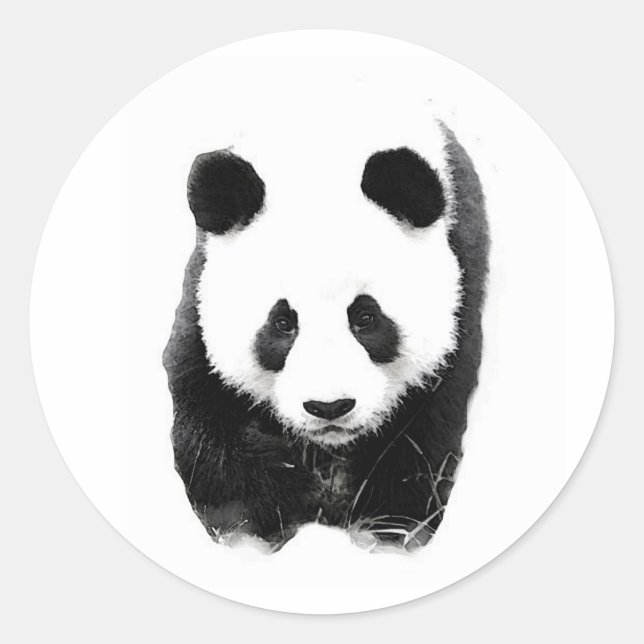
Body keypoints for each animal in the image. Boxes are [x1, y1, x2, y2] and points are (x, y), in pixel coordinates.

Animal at [163, 93, 489, 552]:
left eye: (366, 318)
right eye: (282, 323)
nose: (330, 407)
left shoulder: (461, 287)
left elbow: (423, 434)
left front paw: (385, 529)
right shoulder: (200, 300)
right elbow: (209, 425)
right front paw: (278, 509)